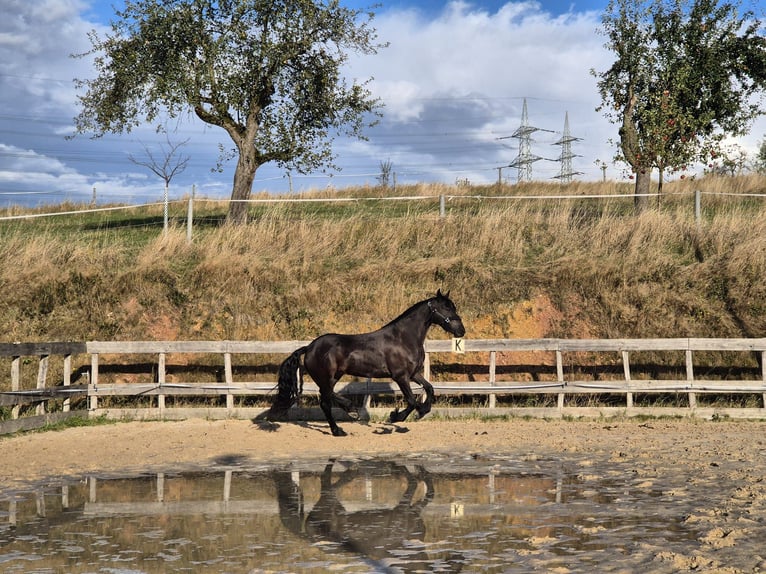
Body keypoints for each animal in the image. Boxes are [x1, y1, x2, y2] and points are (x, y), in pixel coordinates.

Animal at [270, 290, 464, 438]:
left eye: (453, 306)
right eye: (445, 307)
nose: (461, 330)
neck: (403, 338)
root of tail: (309, 347)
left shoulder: (413, 374)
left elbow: (429, 388)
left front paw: (422, 411)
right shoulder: (400, 376)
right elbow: (411, 400)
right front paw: (396, 417)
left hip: (334, 377)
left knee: (328, 397)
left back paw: (347, 413)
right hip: (327, 377)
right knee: (325, 401)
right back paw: (340, 426)